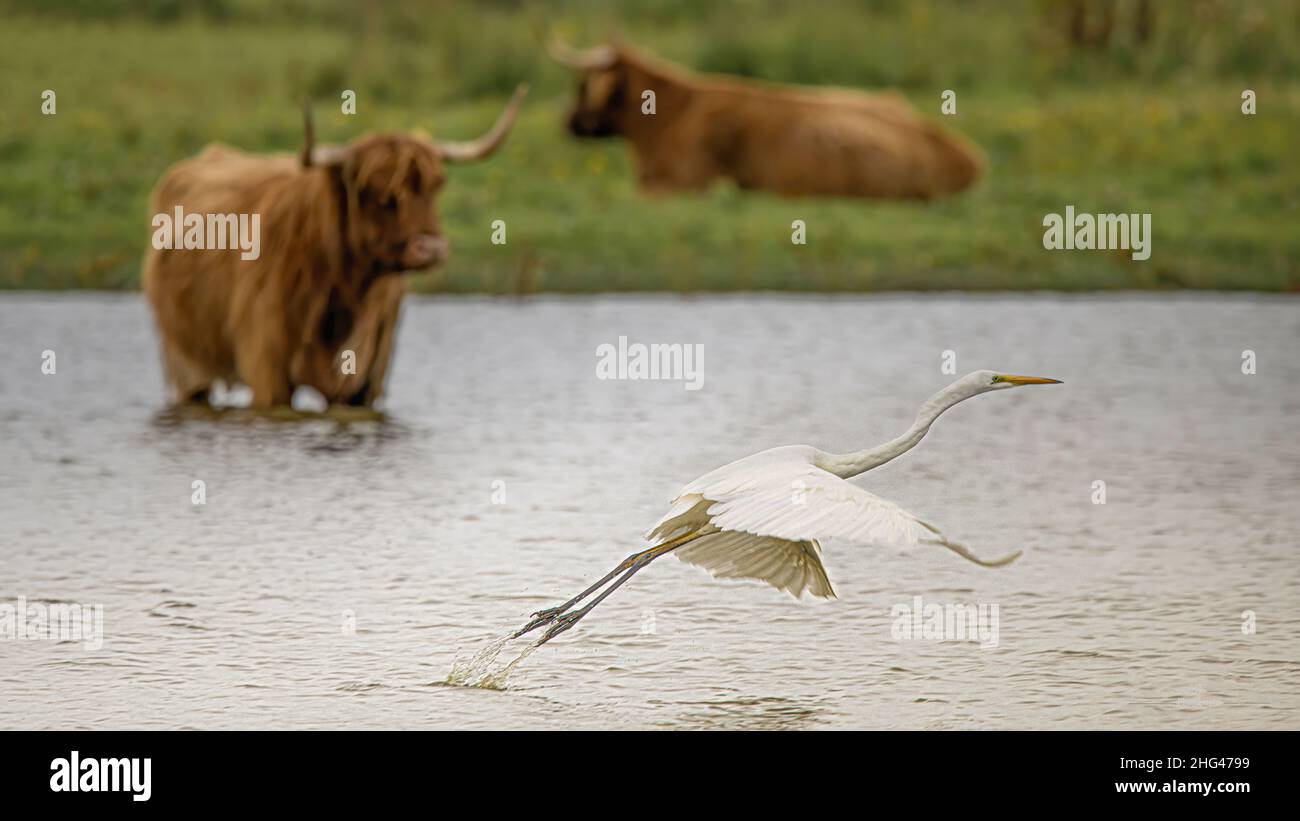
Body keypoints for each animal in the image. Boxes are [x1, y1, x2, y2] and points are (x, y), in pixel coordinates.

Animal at [143, 85, 527, 407]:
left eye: (435, 186)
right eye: (377, 194)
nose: (430, 248)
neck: (344, 291)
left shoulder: (366, 378)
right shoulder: (267, 371)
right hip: (183, 362)